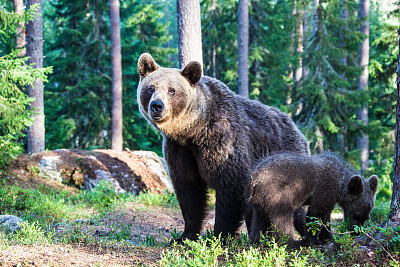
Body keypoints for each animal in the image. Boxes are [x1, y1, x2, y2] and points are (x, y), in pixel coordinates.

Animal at [136, 54, 308, 243]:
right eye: (151, 88)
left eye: (172, 90)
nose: (157, 106)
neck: (193, 130)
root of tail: (296, 128)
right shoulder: (180, 150)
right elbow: (189, 190)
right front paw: (185, 236)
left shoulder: (222, 141)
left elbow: (230, 186)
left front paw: (220, 235)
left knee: (295, 210)